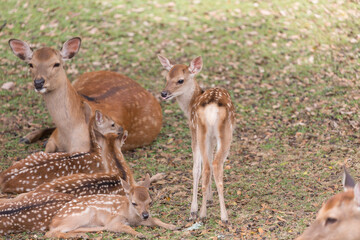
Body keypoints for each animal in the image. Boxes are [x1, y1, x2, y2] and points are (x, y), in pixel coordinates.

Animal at [45, 174, 178, 240]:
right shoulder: (113, 221)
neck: (128, 213)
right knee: (50, 233)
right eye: (134, 203)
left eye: (150, 202)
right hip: (80, 215)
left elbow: (155, 219)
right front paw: (139, 234)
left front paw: (172, 226)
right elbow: (125, 227)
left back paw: (83, 235)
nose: (145, 215)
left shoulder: (138, 219)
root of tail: (52, 221)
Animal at [158, 55, 236, 223]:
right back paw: (217, 215)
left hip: (203, 132)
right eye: (166, 78)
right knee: (212, 165)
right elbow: (204, 165)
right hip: (217, 133)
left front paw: (197, 207)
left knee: (207, 166)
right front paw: (208, 200)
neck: (190, 105)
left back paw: (205, 214)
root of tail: (212, 109)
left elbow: (197, 169)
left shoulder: (194, 130)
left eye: (180, 80)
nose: (164, 93)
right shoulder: (208, 137)